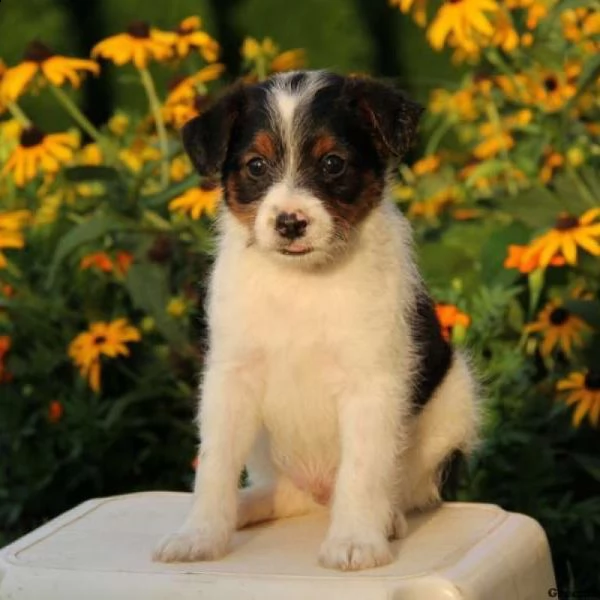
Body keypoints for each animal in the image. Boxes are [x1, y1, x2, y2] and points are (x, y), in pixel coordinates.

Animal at [154, 70, 478, 572]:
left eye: (332, 163)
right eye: (255, 166)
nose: (290, 223)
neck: (301, 282)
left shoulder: (371, 382)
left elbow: (363, 469)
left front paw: (355, 540)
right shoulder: (231, 377)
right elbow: (215, 464)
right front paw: (199, 535)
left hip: (454, 401)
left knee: (408, 489)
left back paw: (385, 519)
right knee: (284, 494)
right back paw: (248, 506)